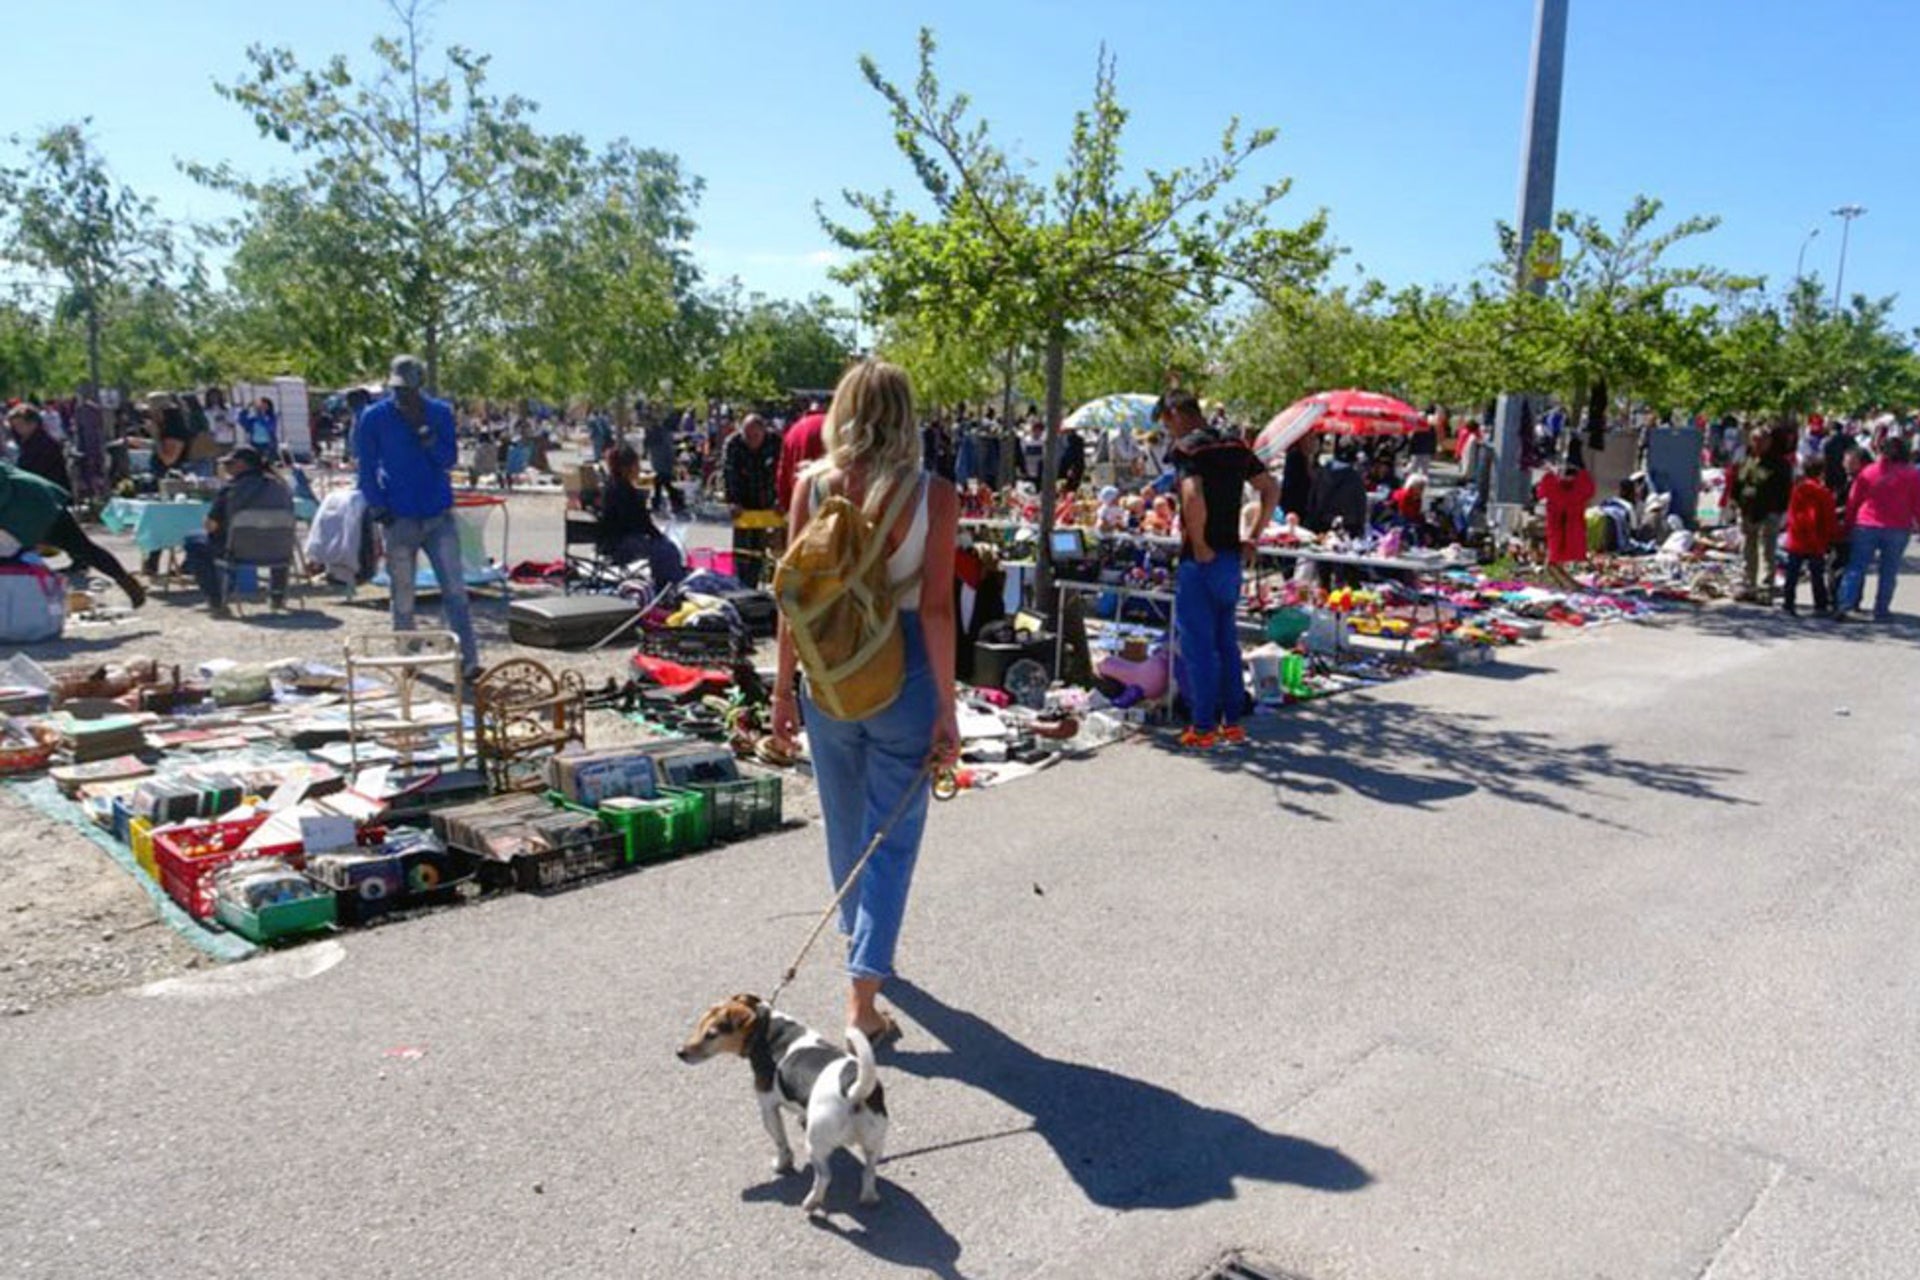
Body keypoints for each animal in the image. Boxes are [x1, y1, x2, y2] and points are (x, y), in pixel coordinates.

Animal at [675, 997, 883, 1220]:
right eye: (699, 1025)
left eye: (711, 1034)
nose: (679, 1052)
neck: (765, 1027)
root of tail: (853, 1089)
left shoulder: (768, 1107)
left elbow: (781, 1143)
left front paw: (782, 1164)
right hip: (874, 1142)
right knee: (869, 1171)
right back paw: (869, 1197)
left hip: (815, 1145)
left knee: (825, 1176)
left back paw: (811, 1203)